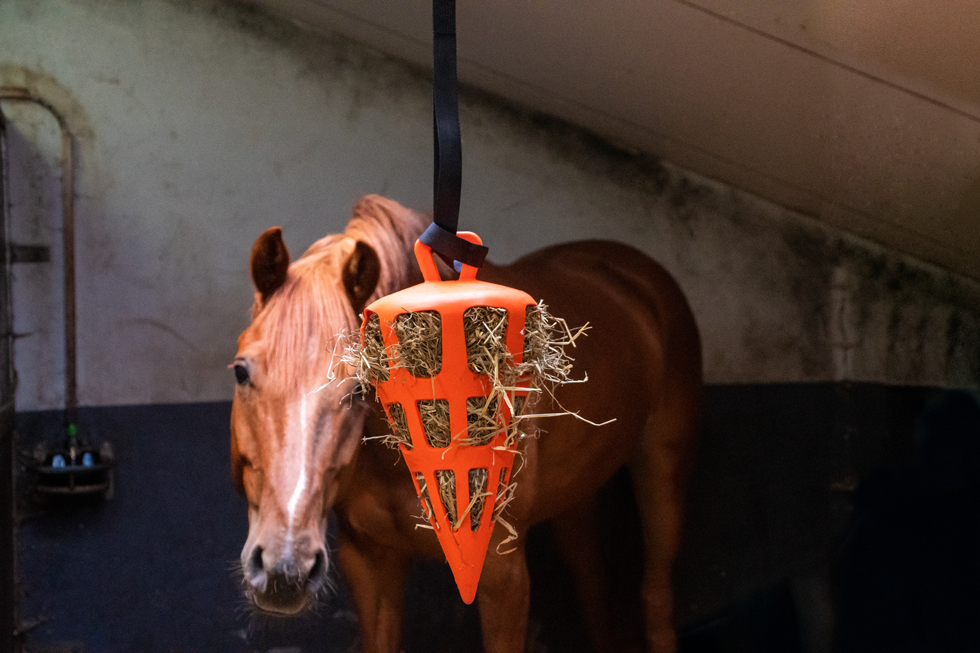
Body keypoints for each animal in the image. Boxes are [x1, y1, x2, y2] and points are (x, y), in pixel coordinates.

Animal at [229, 194, 702, 653]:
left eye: (359, 389)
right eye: (240, 372)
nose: (284, 569)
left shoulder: (502, 573)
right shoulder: (369, 563)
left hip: (662, 473)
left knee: (655, 598)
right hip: (577, 498)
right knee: (595, 587)